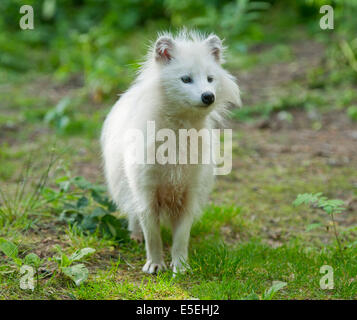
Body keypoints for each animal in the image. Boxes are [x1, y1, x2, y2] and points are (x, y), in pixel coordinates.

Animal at [100, 31, 239, 274]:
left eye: (210, 79)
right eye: (186, 79)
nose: (208, 96)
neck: (178, 132)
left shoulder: (190, 192)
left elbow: (181, 235)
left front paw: (180, 266)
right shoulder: (146, 191)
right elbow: (152, 234)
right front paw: (154, 264)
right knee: (133, 213)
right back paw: (135, 236)